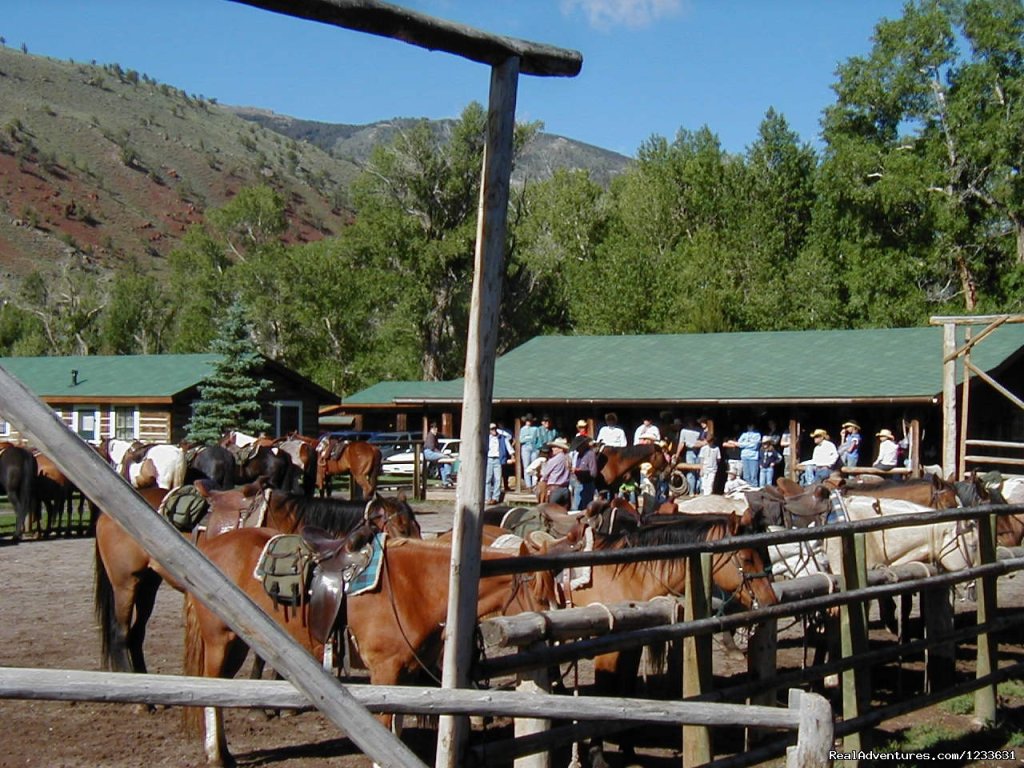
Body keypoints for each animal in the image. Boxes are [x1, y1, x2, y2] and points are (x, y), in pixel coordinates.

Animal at [187, 528, 548, 768]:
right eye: (539, 593)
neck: (414, 586)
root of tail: (208, 542)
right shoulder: (384, 670)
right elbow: (386, 726)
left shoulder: (404, 673)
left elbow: (397, 726)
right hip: (219, 639)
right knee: (210, 688)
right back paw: (217, 757)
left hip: (237, 639)